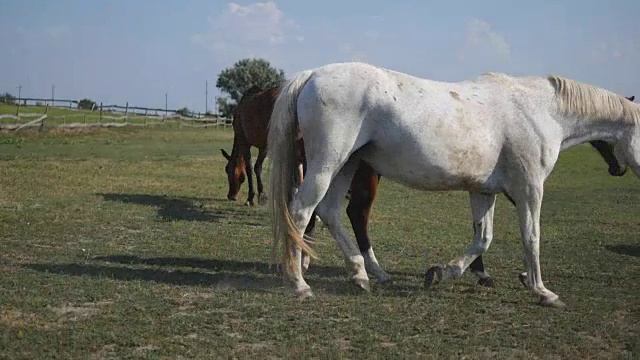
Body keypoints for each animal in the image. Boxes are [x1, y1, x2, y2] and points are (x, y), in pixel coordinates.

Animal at [266, 61, 640, 306]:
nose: (619, 170)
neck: (539, 109)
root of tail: (312, 74)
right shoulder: (530, 189)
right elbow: (531, 236)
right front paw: (542, 290)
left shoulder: (483, 191)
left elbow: (482, 239)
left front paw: (441, 273)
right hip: (328, 163)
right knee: (301, 212)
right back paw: (299, 283)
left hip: (349, 165)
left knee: (330, 212)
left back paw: (361, 274)